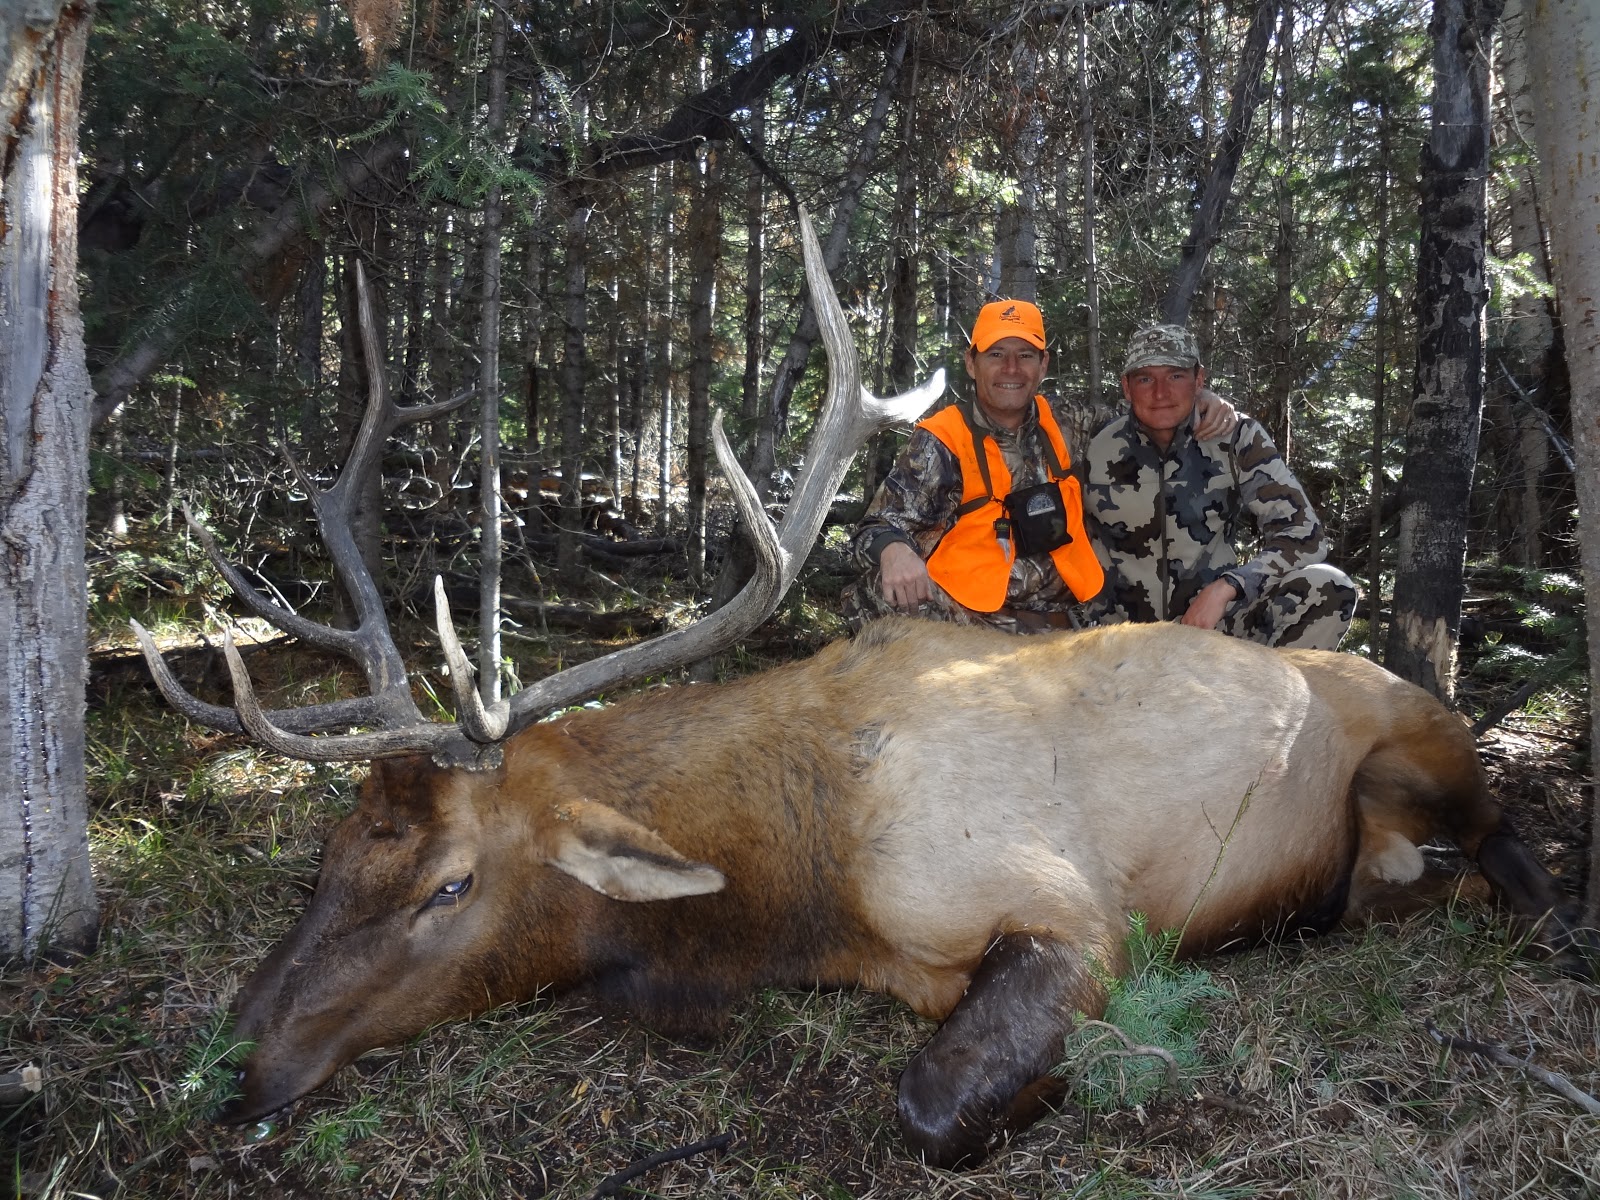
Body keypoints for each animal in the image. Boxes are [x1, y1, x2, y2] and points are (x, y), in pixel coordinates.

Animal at [135, 211, 1587, 1170]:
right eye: (330, 858)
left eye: (451, 885)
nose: (229, 1062)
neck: (795, 874)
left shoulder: (1061, 904)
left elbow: (933, 1103)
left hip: (1418, 735)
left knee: (1502, 840)